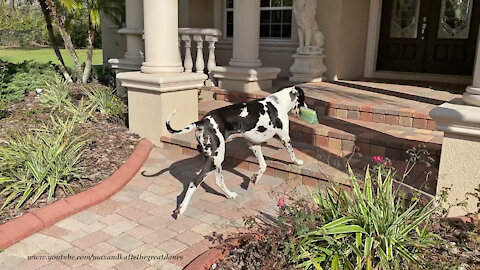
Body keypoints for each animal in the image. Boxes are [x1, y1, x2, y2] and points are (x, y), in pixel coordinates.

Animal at [165, 85, 308, 218]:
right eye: (303, 98)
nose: (307, 108)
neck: (279, 102)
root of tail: (202, 121)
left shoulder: (254, 144)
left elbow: (263, 165)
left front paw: (255, 178)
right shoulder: (284, 137)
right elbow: (291, 153)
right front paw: (298, 162)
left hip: (216, 159)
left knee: (219, 181)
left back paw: (229, 195)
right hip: (215, 159)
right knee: (193, 183)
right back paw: (181, 209)